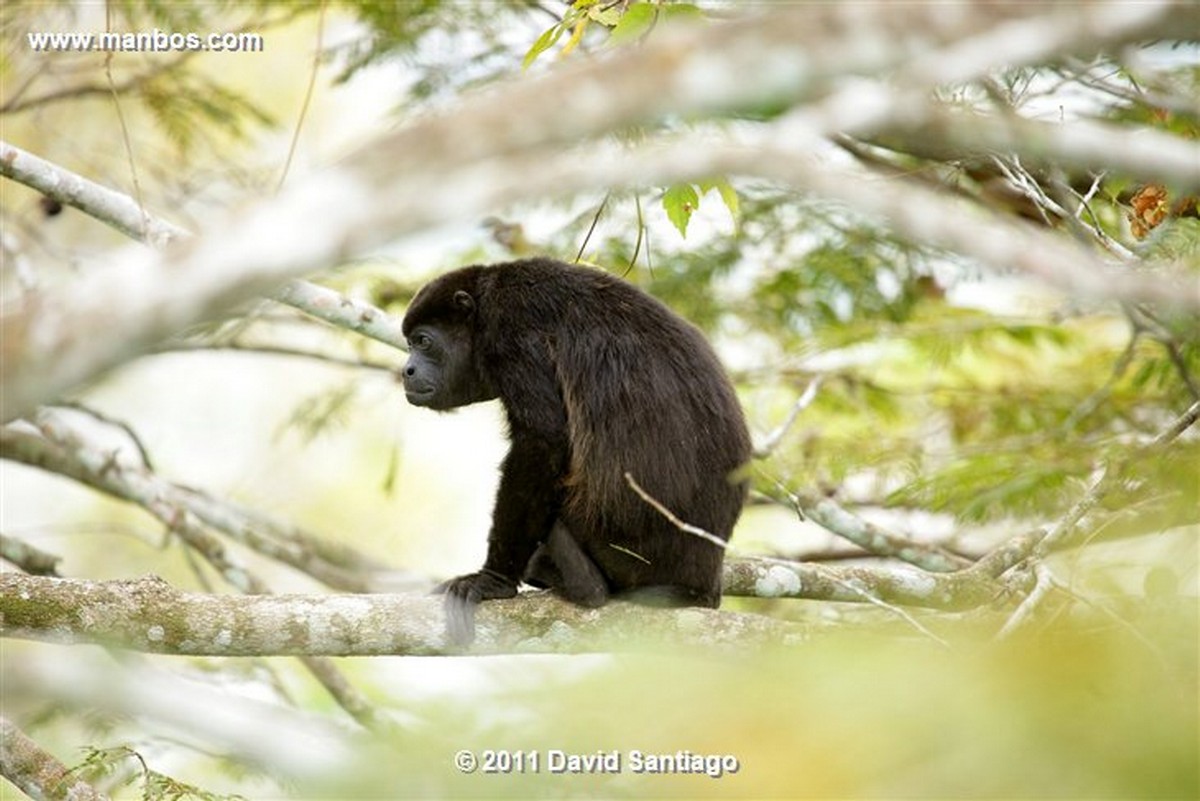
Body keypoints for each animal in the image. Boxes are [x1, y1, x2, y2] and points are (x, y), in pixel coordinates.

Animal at [403, 257, 748, 642]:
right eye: (409, 344)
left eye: (423, 341)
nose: (407, 370)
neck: (483, 310)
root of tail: (703, 584)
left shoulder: (512, 338)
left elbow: (543, 442)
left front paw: (492, 582)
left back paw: (581, 583)